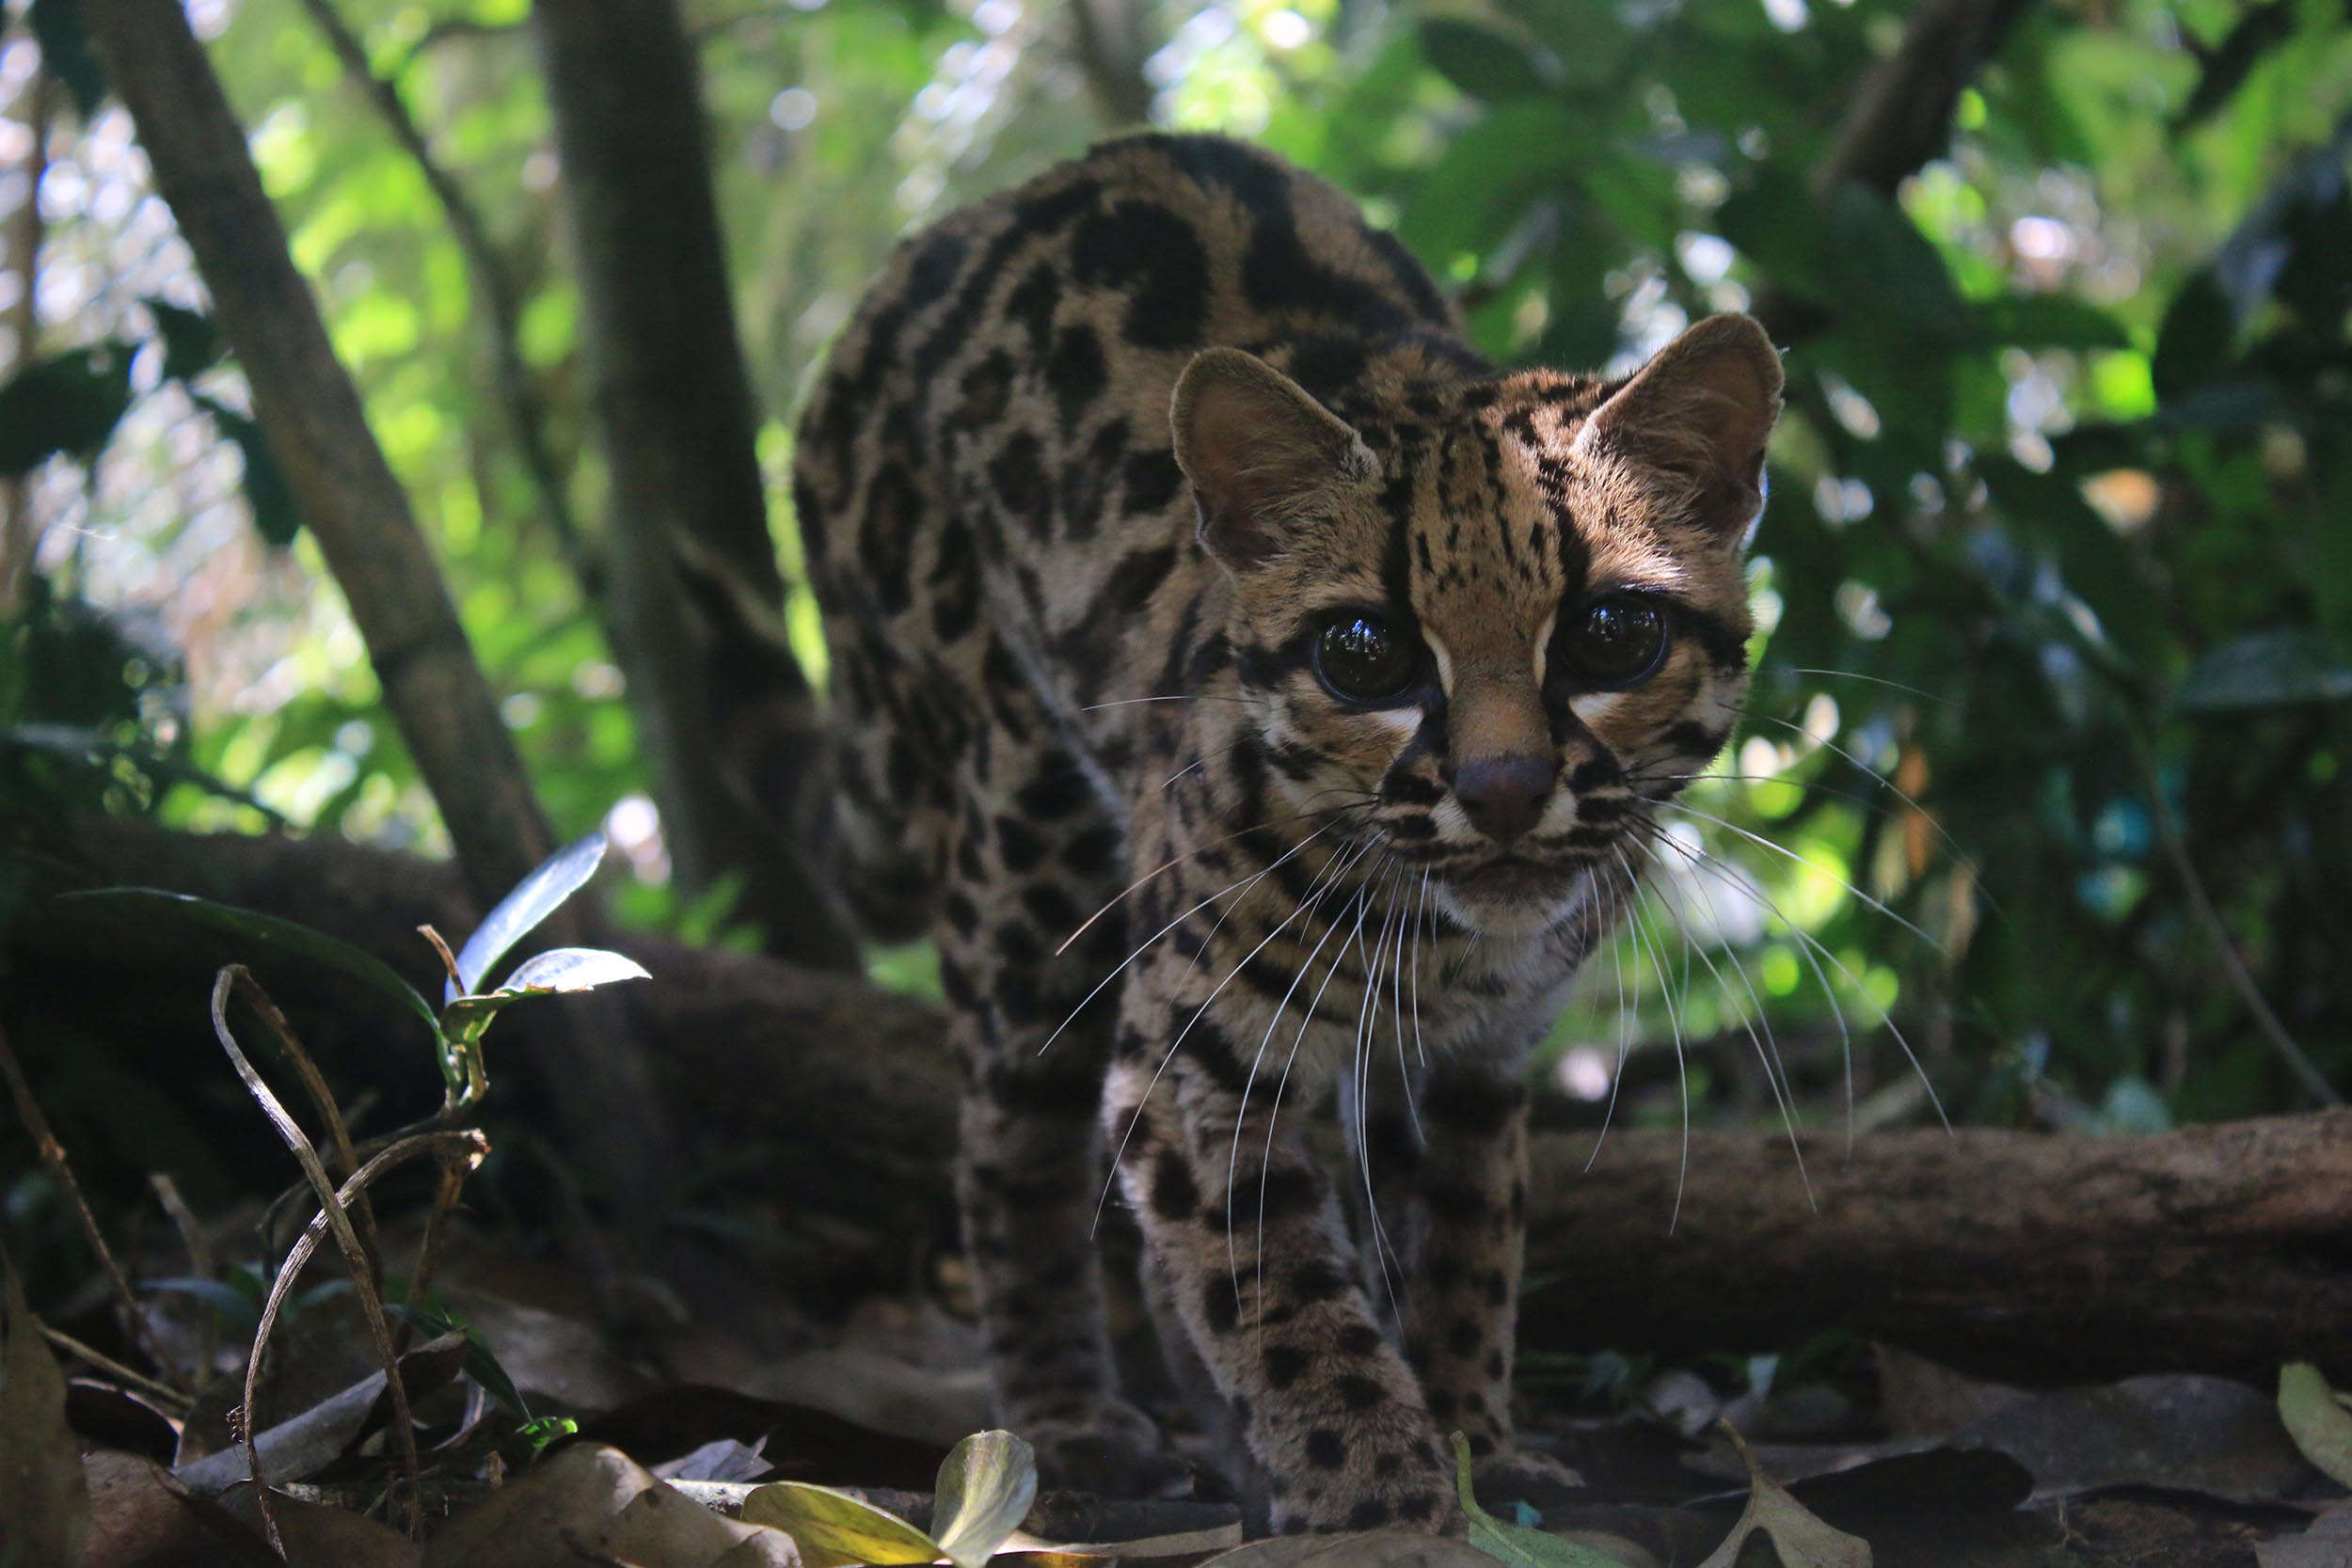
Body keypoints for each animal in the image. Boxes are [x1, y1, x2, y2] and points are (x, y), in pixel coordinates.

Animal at [800, 135, 1769, 1532]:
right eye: (1363, 653)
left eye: (1611, 634)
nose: (1506, 787)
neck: (1448, 945)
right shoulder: (1188, 1058)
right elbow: (1288, 1304)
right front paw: (1385, 1504)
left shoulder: (1481, 1058)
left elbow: (1468, 1239)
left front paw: (1472, 1441)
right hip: (1018, 834)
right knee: (1009, 1149)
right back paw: (1064, 1424)